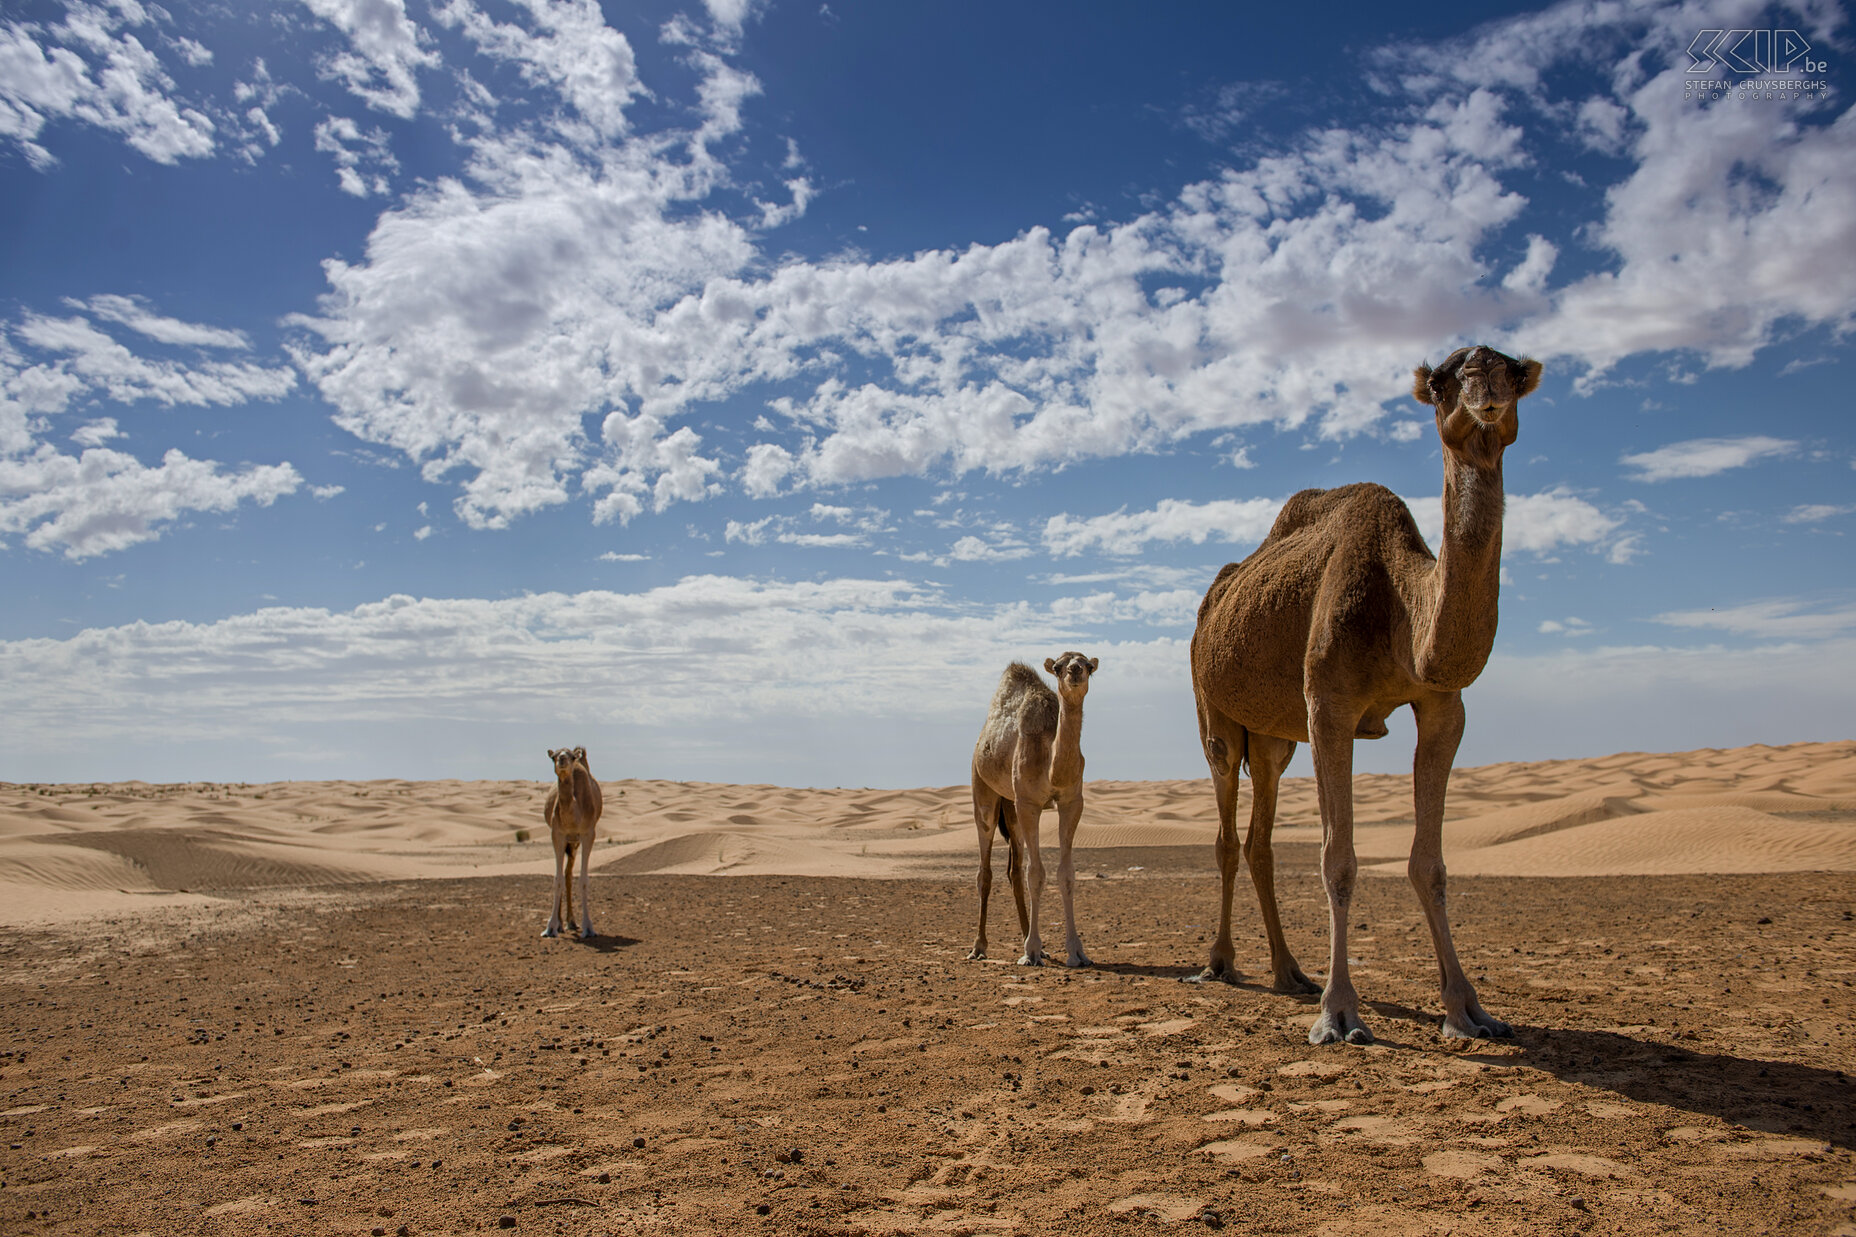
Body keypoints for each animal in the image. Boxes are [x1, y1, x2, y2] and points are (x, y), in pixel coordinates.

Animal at [541, 742, 605, 936]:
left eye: (571, 756)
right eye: (553, 756)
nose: (562, 759)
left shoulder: (588, 834)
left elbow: (583, 880)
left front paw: (588, 927)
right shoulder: (557, 834)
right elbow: (557, 880)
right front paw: (550, 927)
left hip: (575, 842)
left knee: (569, 874)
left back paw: (571, 921)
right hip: (568, 841)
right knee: (564, 875)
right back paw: (561, 924)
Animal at [965, 650, 1091, 965]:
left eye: (1089, 665)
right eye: (1057, 666)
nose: (1075, 670)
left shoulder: (1072, 802)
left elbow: (1066, 873)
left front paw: (1076, 951)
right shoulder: (1029, 804)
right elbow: (1036, 873)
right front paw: (1031, 952)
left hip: (1011, 807)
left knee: (1014, 871)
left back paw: (1028, 940)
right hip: (983, 789)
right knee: (985, 871)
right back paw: (979, 947)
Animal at [1195, 339, 1544, 1040]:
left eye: (1515, 371)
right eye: (1441, 379)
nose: (1484, 386)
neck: (1401, 604)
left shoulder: (1443, 707)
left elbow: (1428, 863)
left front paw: (1468, 1009)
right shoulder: (1330, 706)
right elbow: (1339, 859)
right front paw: (1339, 1014)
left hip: (1273, 737)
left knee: (1260, 835)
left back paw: (1289, 971)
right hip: (1214, 709)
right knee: (1225, 831)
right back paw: (1221, 963)